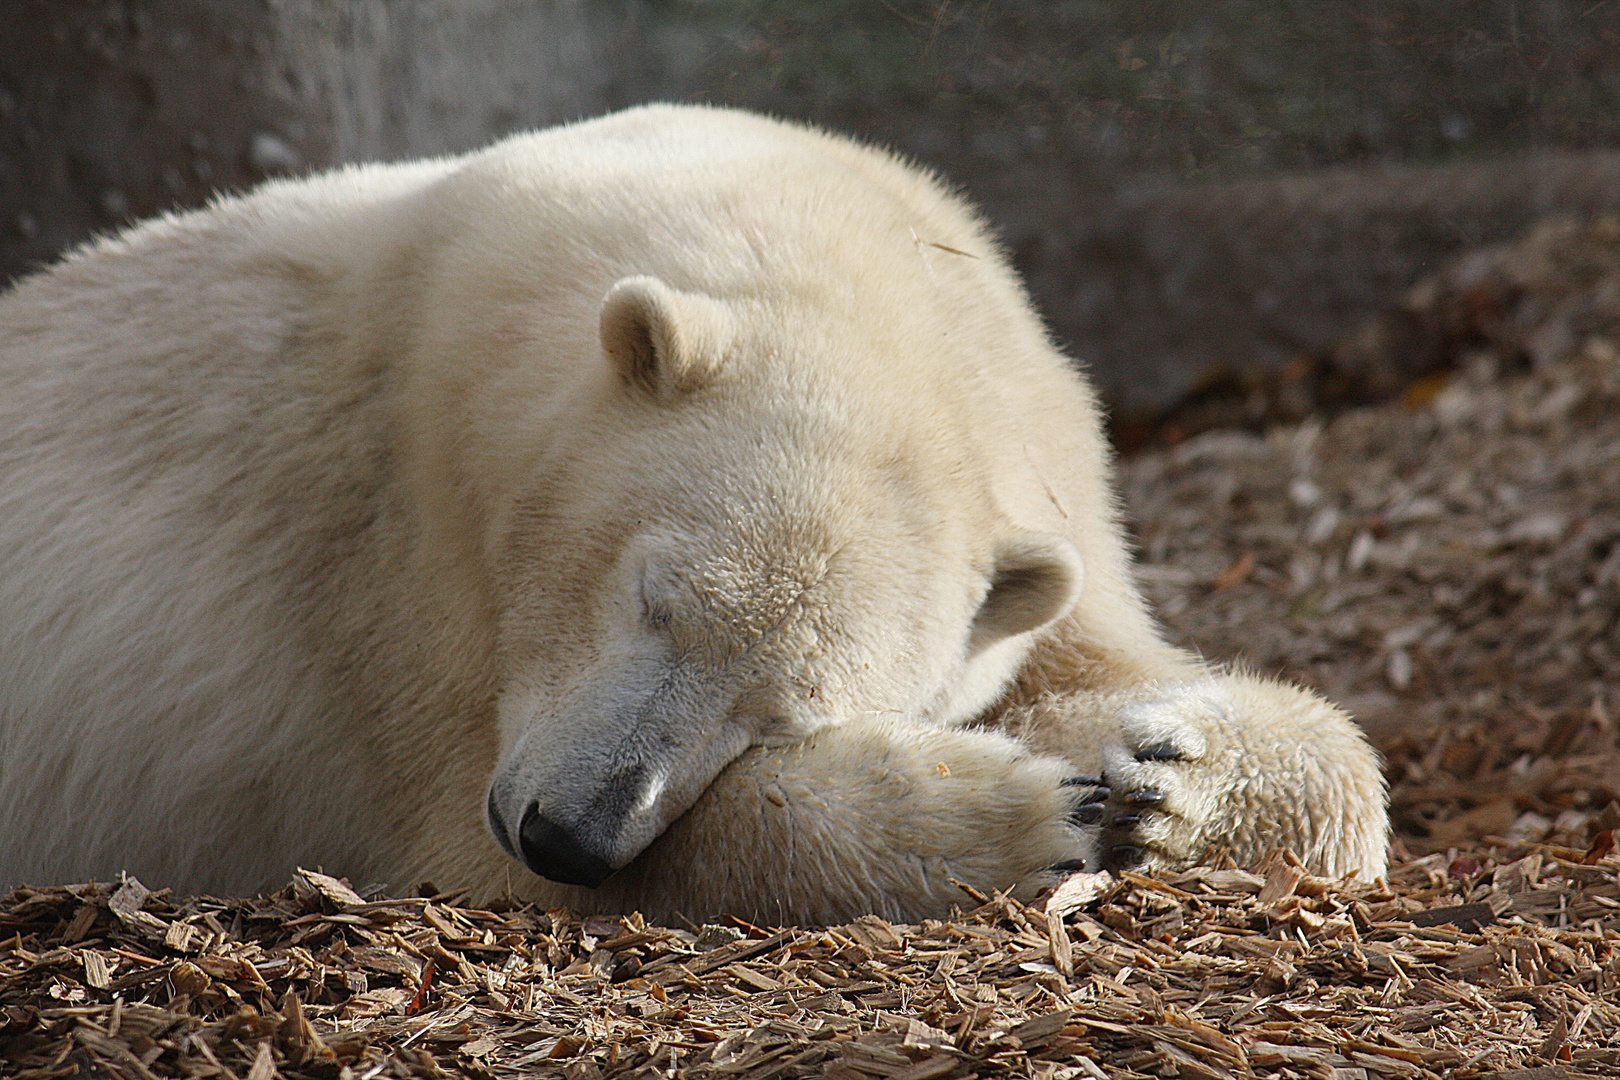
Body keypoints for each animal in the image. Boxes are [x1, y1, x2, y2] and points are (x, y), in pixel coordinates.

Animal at [0, 105, 1386, 926]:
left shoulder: (1056, 511)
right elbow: (471, 834)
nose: (568, 832)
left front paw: (1166, 771)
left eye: (788, 709)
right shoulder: (404, 561)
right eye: (648, 599)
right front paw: (1028, 809)